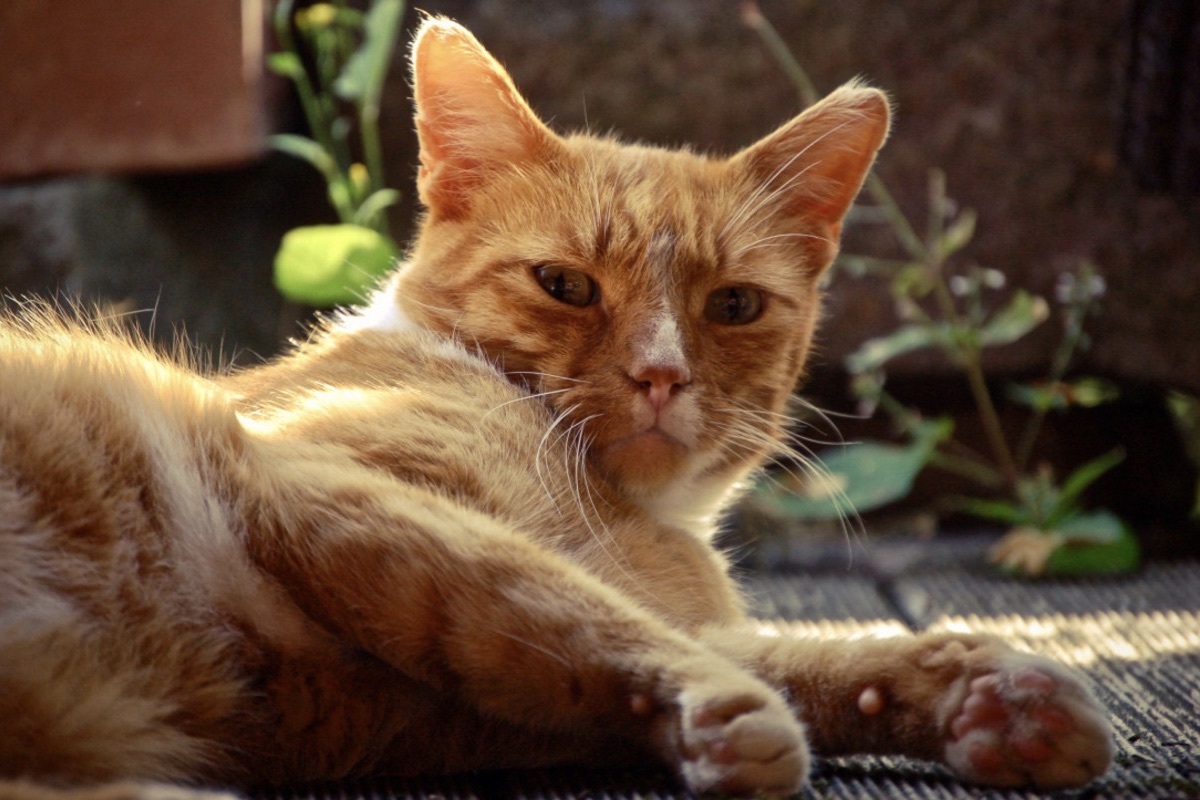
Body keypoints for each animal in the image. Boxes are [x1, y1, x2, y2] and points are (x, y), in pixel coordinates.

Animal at [2, 15, 1113, 796]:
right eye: (566, 285)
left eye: (734, 305)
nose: (661, 374)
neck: (640, 517)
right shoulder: (317, 484)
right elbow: (562, 605)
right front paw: (735, 713)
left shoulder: (438, 703)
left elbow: (780, 656)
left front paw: (991, 701)